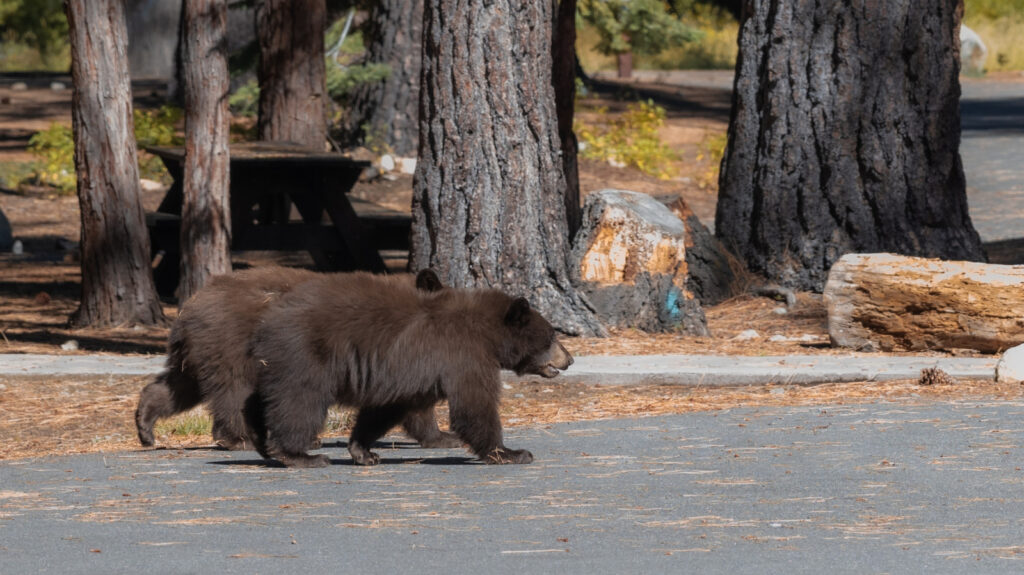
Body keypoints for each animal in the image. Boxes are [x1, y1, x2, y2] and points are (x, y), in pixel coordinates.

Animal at [134, 266, 458, 451]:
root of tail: (191, 304)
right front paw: (442, 436)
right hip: (232, 344)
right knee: (233, 391)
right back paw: (240, 439)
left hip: (198, 352)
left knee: (179, 387)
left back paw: (146, 426)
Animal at [246, 273, 574, 468]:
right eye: (552, 335)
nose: (569, 359)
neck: (490, 334)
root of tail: (268, 319)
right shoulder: (464, 354)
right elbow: (474, 404)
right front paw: (511, 452)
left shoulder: (405, 375)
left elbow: (387, 407)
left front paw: (363, 450)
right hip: (305, 356)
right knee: (301, 402)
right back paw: (300, 454)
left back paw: (262, 445)